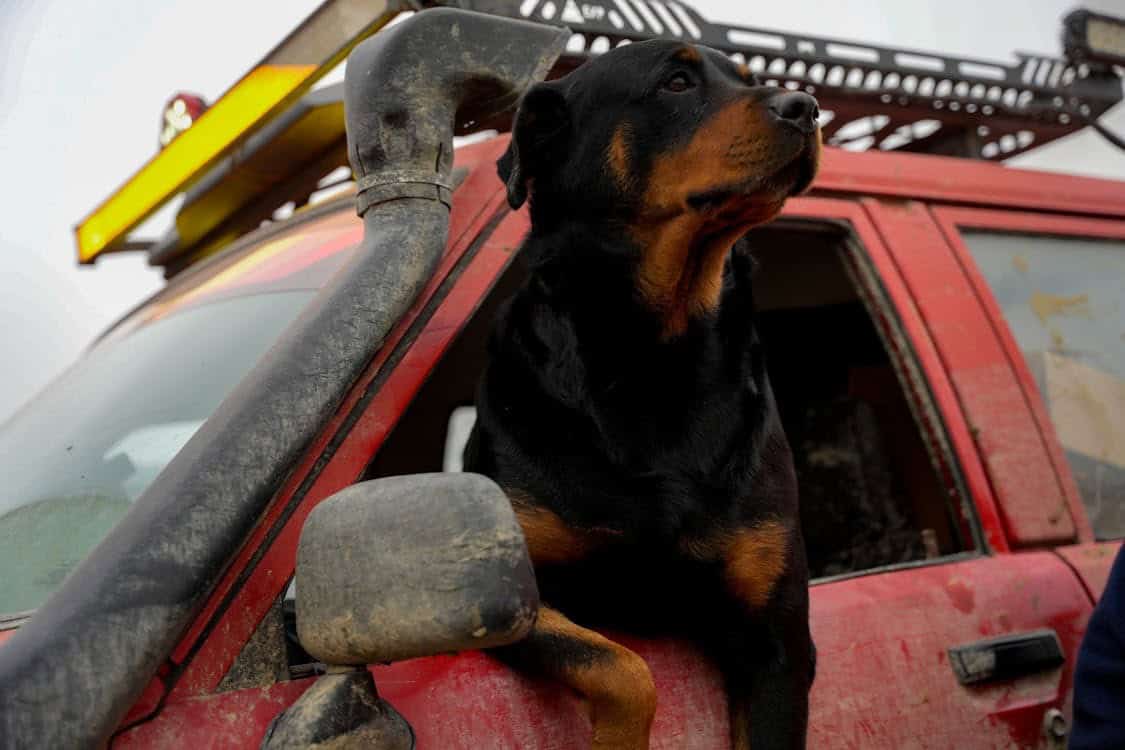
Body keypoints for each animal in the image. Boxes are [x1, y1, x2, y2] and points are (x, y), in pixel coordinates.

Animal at [461, 36, 823, 750]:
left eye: (748, 76)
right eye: (676, 83)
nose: (807, 105)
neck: (656, 354)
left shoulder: (778, 644)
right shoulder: (500, 600)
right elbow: (620, 664)